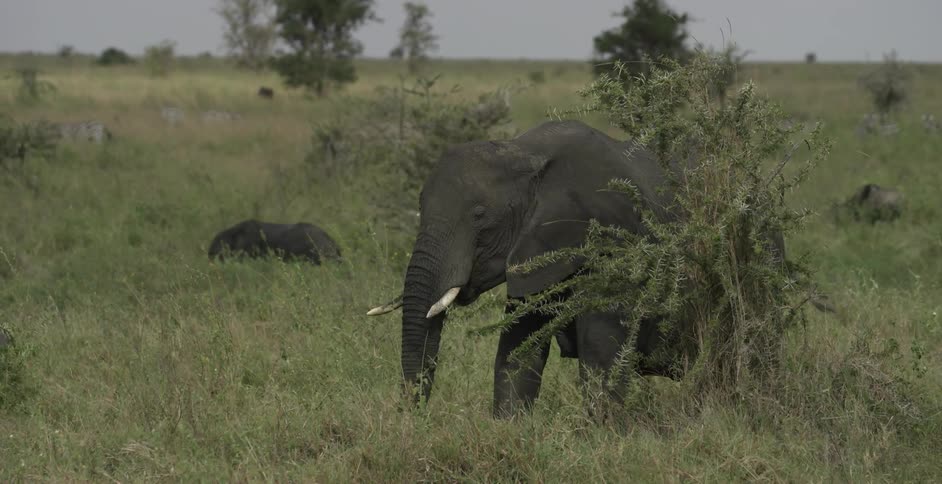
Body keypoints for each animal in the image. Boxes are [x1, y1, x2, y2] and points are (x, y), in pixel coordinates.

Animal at [366, 119, 754, 418]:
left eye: (479, 216)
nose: (413, 417)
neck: (524, 153)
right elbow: (517, 354)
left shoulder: (610, 242)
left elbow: (599, 357)